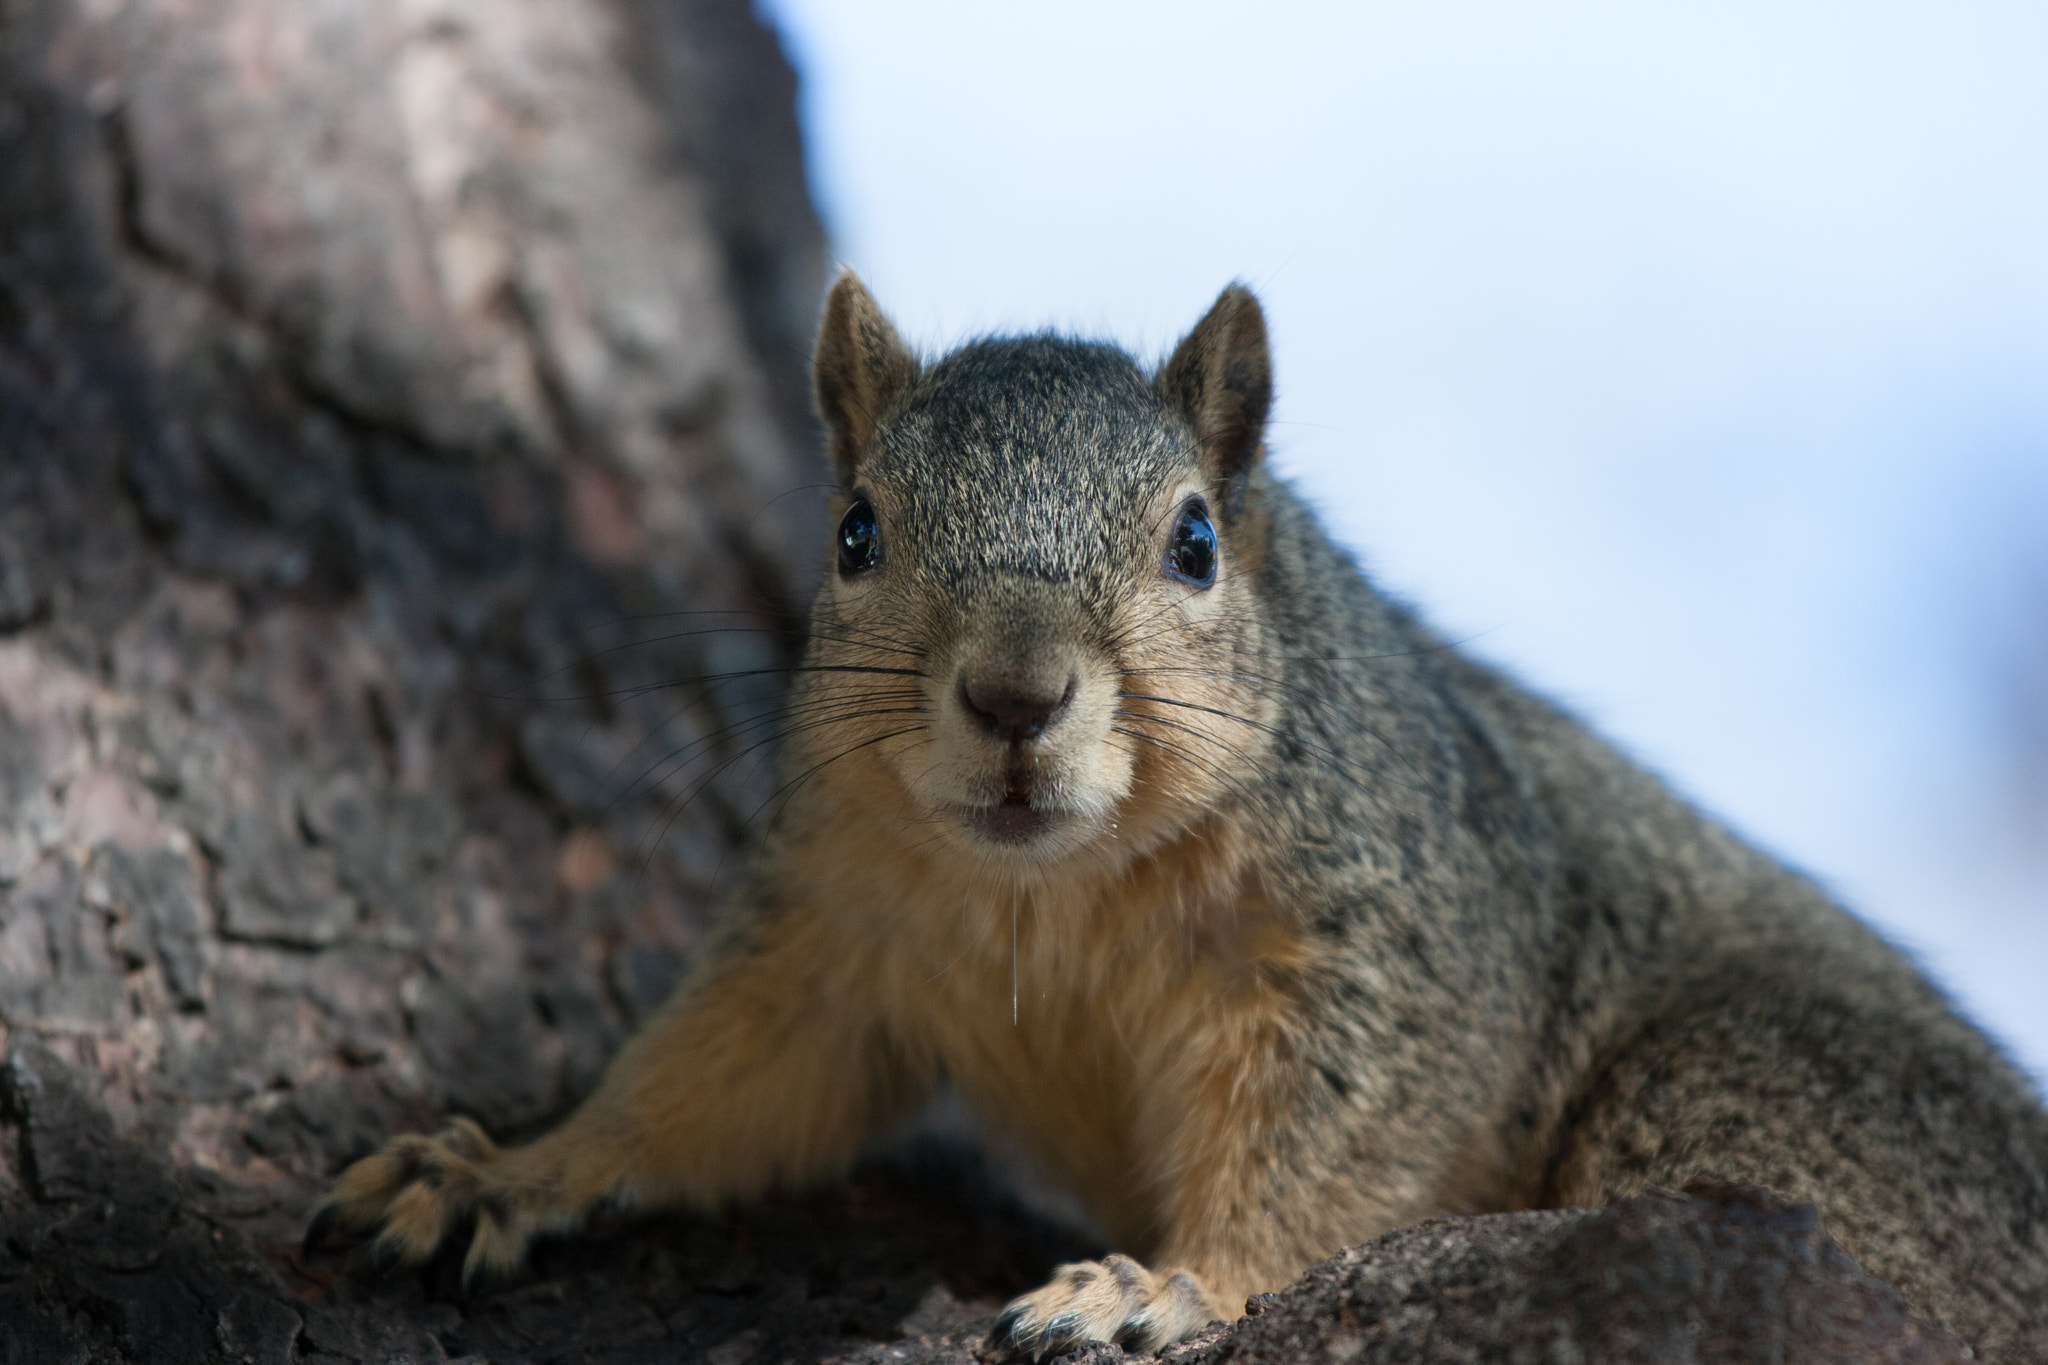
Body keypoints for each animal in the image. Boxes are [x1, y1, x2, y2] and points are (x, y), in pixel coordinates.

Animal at [311, 272, 2048, 1360]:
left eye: (1196, 543)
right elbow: (716, 1089)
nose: (1016, 696)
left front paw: (1172, 1288)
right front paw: (513, 1166)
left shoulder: (1383, 956)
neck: (1053, 888)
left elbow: (1327, 1148)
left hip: (1757, 1101)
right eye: (856, 531)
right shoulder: (832, 937)